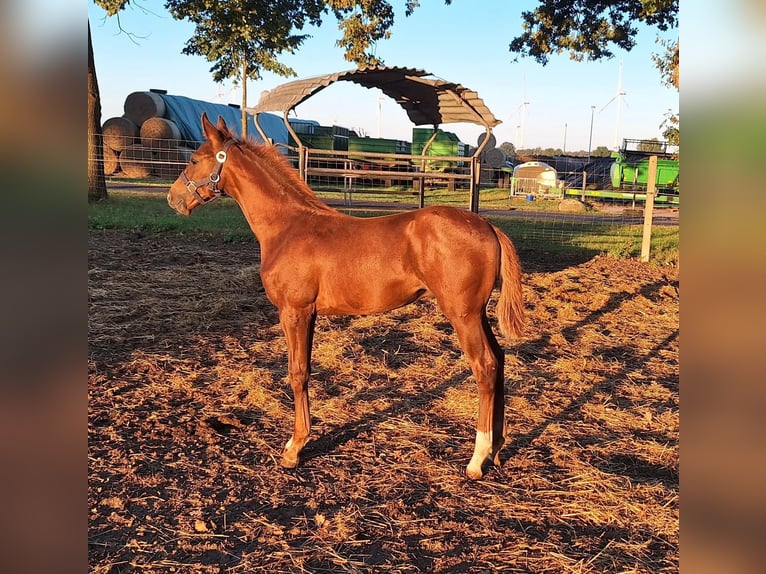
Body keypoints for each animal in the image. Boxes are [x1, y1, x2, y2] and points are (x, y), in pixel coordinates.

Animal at [168, 113, 525, 479]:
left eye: (194, 159)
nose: (173, 198)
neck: (287, 227)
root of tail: (488, 226)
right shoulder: (308, 313)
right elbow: (305, 369)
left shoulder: (294, 311)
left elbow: (297, 373)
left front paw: (294, 448)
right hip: (477, 313)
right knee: (499, 360)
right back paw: (497, 450)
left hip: (462, 314)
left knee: (484, 366)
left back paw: (477, 459)